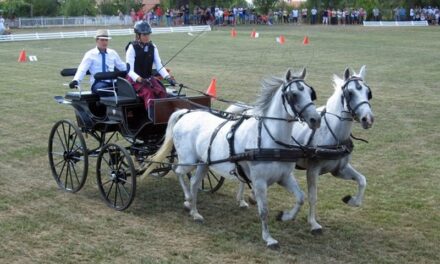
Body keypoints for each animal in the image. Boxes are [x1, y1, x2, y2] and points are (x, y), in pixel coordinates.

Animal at [144, 69, 320, 249]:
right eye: (293, 94)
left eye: (310, 92)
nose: (316, 119)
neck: (270, 138)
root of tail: (186, 113)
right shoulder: (259, 182)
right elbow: (264, 210)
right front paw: (268, 238)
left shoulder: (284, 177)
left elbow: (301, 198)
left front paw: (285, 216)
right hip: (188, 160)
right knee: (177, 170)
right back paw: (187, 199)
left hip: (203, 163)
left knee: (193, 182)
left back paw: (195, 212)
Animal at [235, 66, 372, 235]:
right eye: (350, 93)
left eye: (368, 92)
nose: (368, 119)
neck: (332, 132)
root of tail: (248, 111)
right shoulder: (313, 170)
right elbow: (312, 197)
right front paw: (313, 224)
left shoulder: (339, 169)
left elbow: (362, 180)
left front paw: (351, 200)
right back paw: (243, 200)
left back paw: (248, 198)